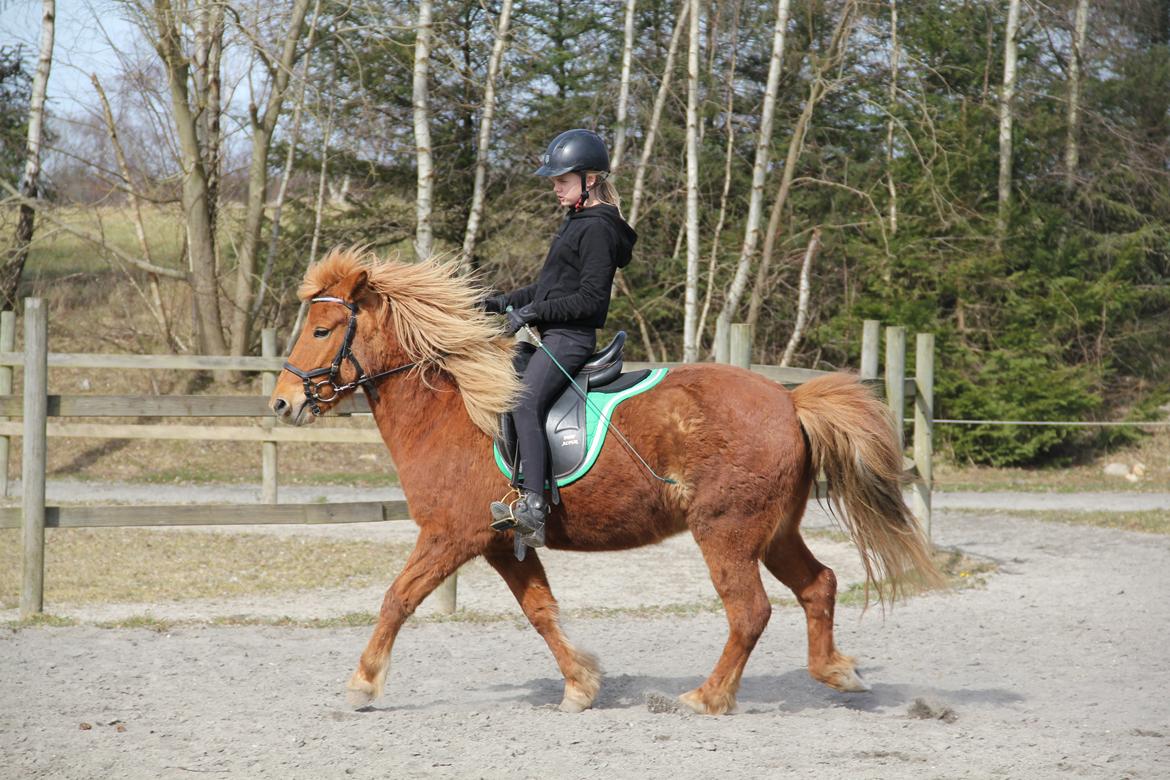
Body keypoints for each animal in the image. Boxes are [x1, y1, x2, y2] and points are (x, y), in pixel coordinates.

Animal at [267, 249, 940, 715]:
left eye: (322, 331)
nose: (281, 404)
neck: (450, 409)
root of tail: (790, 400)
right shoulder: (500, 542)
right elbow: (541, 611)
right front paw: (581, 686)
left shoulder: (449, 536)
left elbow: (397, 598)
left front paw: (362, 683)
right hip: (772, 531)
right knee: (818, 586)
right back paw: (837, 672)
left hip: (726, 531)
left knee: (749, 611)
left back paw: (705, 698)